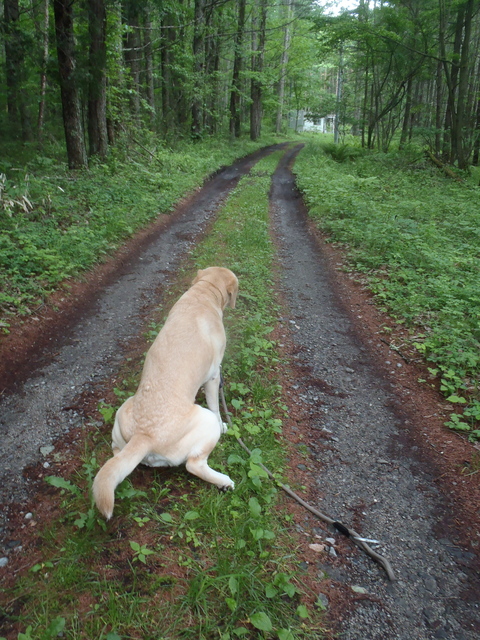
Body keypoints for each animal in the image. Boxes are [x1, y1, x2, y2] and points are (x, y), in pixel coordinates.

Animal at [93, 266, 238, 520]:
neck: (204, 292)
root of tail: (144, 435)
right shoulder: (213, 377)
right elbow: (216, 407)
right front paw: (224, 425)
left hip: (122, 416)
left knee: (116, 455)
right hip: (204, 422)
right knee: (194, 465)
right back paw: (224, 482)